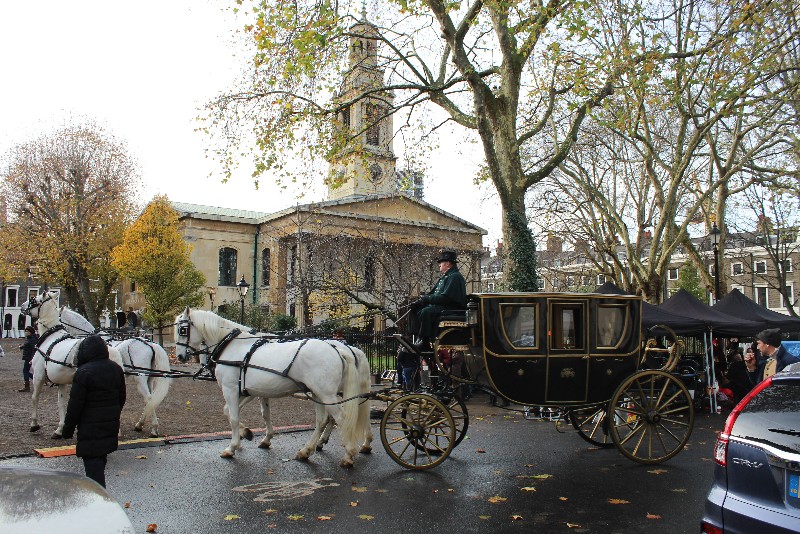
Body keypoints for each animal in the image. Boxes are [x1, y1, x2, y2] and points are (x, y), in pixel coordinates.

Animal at [20, 294, 124, 440]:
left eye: (35, 299)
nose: (22, 306)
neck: (50, 338)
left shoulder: (38, 376)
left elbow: (35, 398)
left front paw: (34, 424)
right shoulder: (61, 381)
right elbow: (61, 403)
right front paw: (60, 429)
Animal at [55, 306, 171, 440]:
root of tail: (150, 344)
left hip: (141, 379)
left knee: (149, 398)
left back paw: (153, 428)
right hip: (149, 379)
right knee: (151, 400)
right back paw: (140, 425)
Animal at [175, 310, 368, 468]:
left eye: (182, 330)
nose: (180, 356)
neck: (233, 346)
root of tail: (338, 349)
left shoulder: (230, 389)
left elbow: (234, 417)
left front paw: (232, 447)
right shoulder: (249, 391)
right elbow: (243, 413)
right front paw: (249, 434)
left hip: (326, 395)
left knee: (341, 418)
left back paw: (349, 454)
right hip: (317, 393)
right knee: (323, 420)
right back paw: (307, 450)